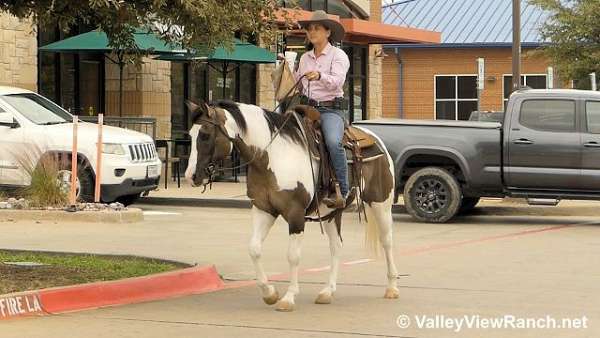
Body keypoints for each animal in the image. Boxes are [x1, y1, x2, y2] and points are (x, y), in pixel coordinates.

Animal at [184, 100, 398, 312]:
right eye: (190, 135)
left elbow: (293, 256)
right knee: (336, 246)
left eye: (205, 134)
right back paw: (327, 292)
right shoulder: (264, 210)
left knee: (387, 241)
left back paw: (392, 287)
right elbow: (254, 249)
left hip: (381, 204)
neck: (271, 156)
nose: (190, 176)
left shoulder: (295, 214)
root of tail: (374, 138)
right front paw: (269, 293)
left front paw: (288, 297)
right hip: (331, 212)